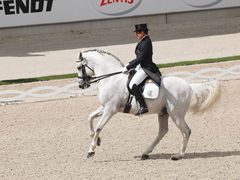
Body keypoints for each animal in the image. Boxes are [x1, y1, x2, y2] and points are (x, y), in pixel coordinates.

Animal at [77, 49, 221, 160]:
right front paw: (97, 140)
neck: (111, 79)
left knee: (186, 131)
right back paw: (146, 153)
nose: (81, 85)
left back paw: (178, 155)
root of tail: (189, 86)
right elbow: (90, 117)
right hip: (163, 113)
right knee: (163, 131)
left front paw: (91, 151)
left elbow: (99, 127)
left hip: (176, 114)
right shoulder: (105, 107)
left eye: (79, 67)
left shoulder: (110, 109)